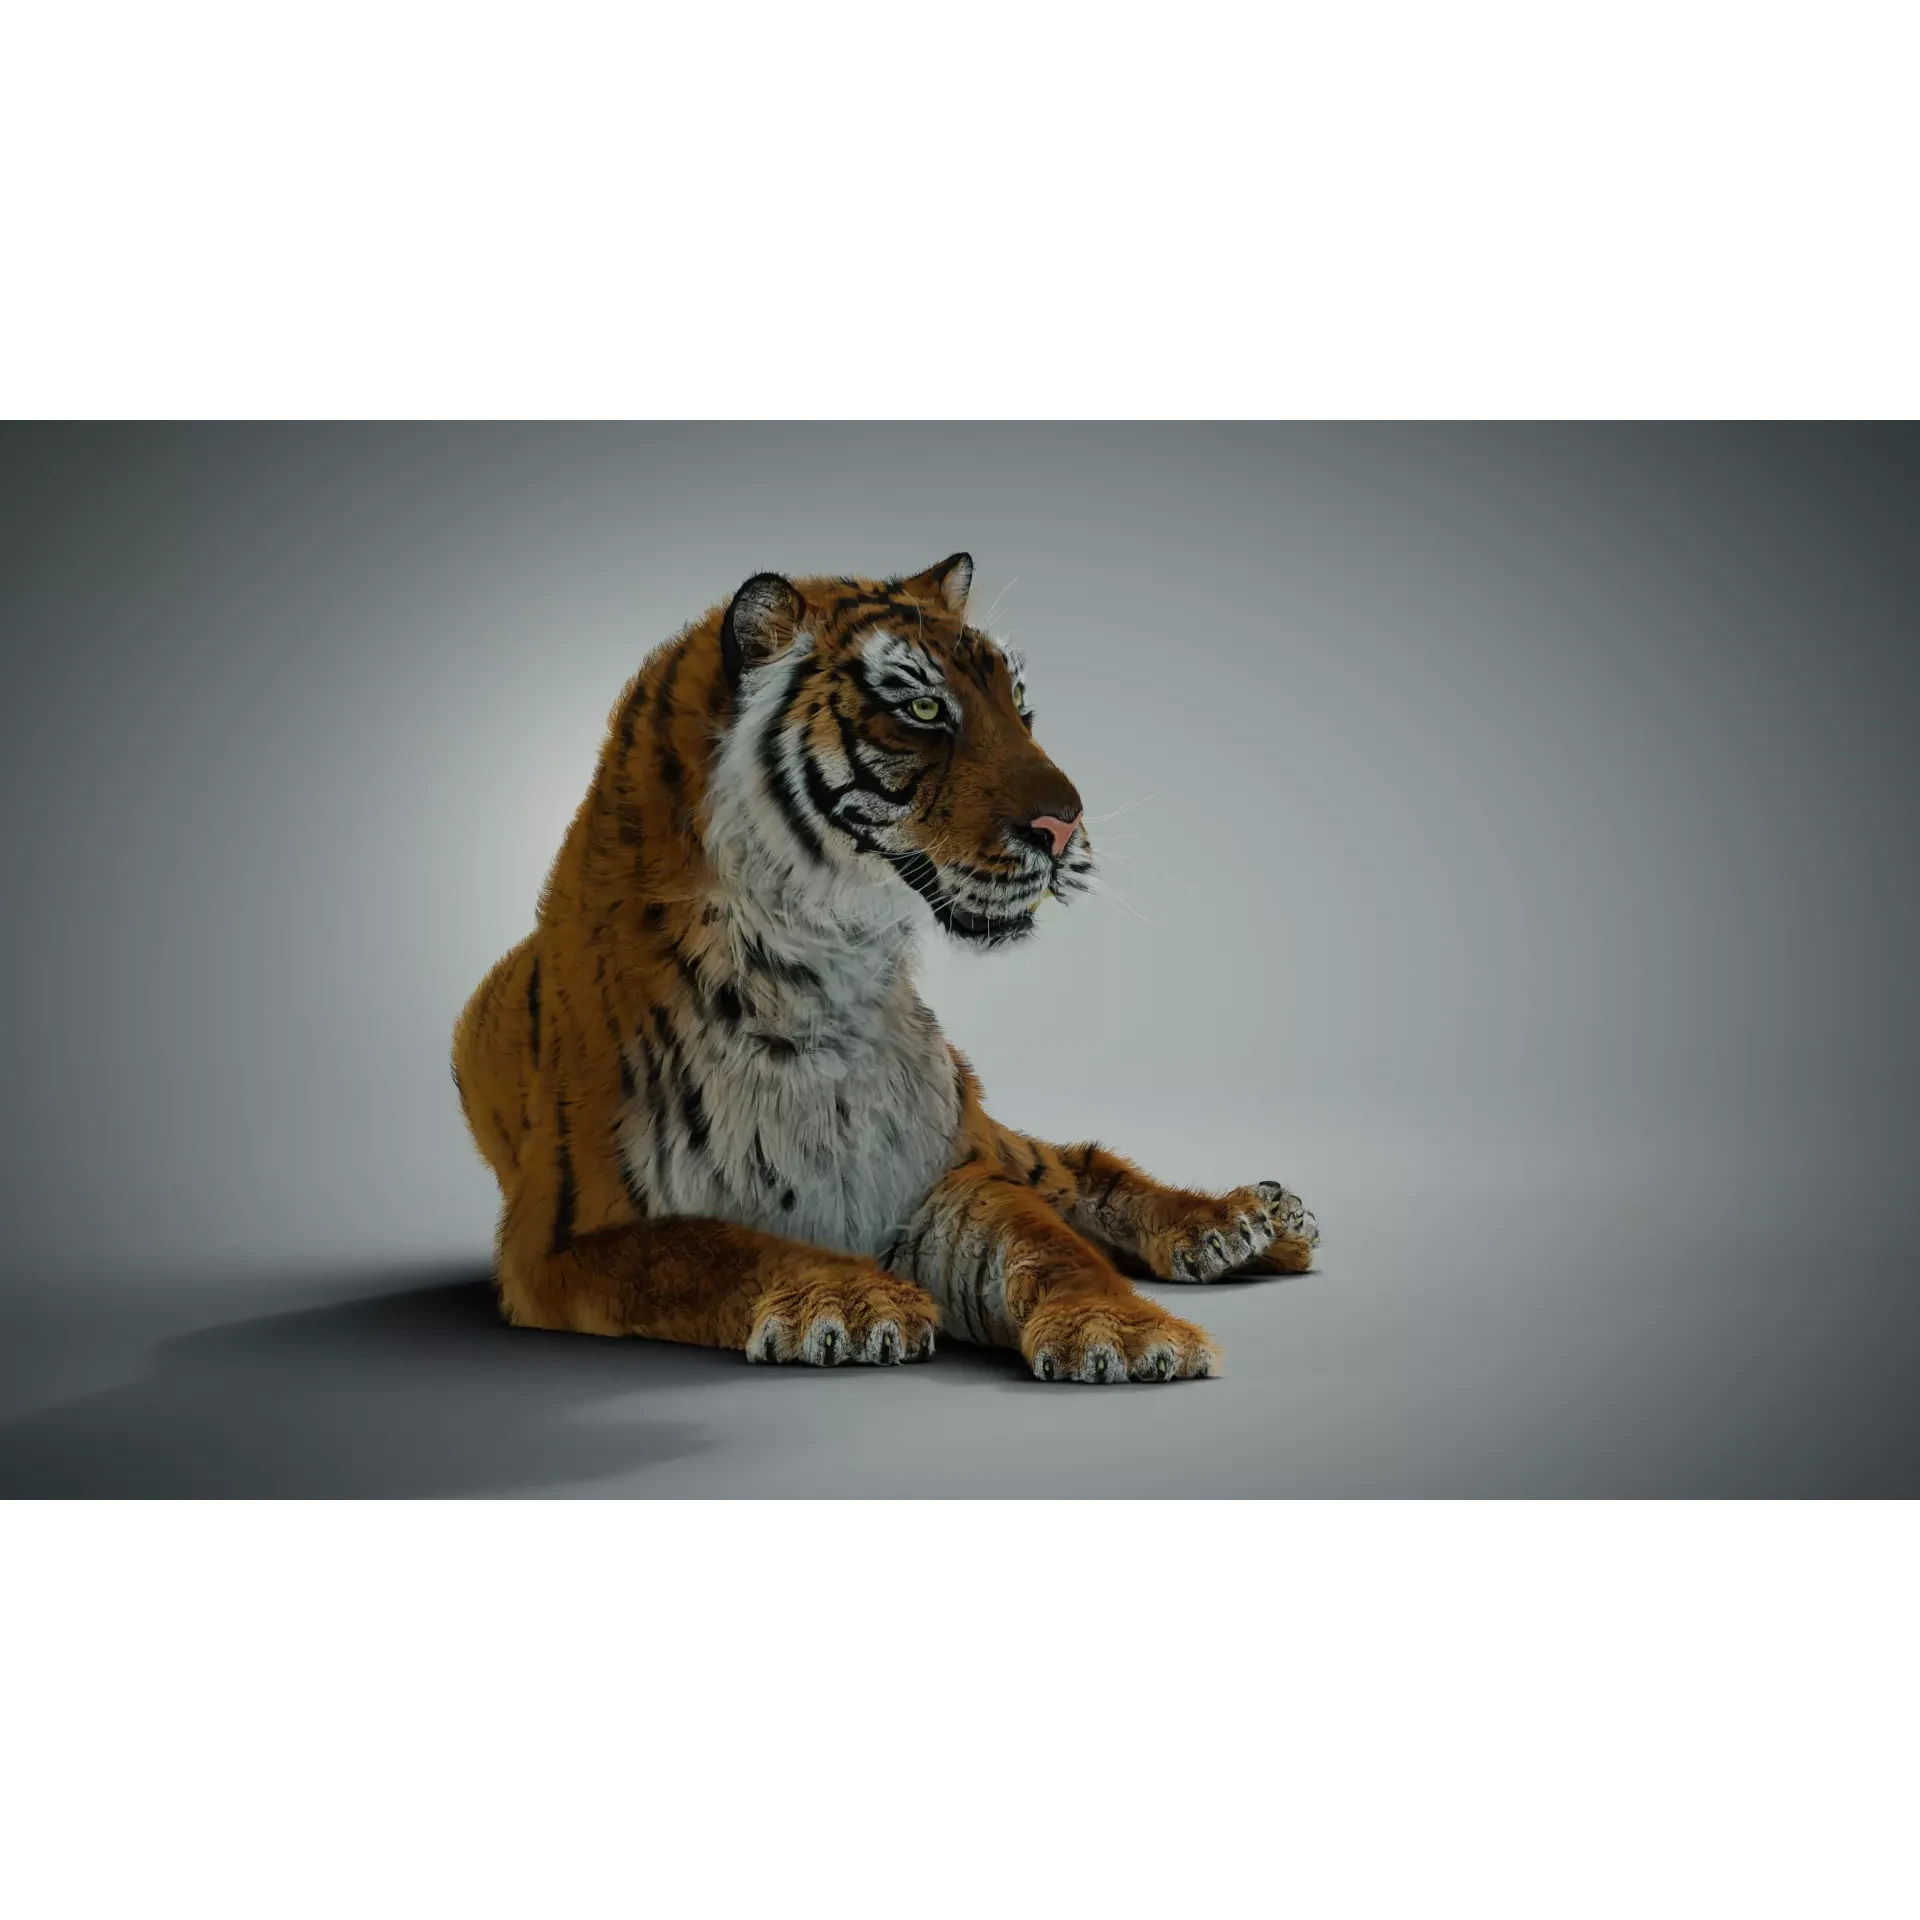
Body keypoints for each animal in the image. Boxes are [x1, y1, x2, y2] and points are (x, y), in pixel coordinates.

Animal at [452, 552, 1319, 1384]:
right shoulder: (568, 1238)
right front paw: (849, 1301)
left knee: (1074, 1167)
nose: (1065, 827)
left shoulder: (943, 1171)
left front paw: (1123, 1332)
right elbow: (719, 1248)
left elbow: (1048, 1246)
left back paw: (1251, 1224)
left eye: (1019, 704)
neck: (821, 976)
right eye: (925, 710)